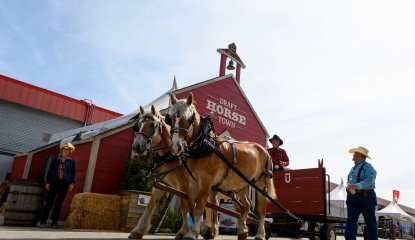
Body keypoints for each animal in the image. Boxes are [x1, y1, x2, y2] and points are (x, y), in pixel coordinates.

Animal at [130, 105, 218, 240]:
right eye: (138, 125)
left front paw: (185, 231)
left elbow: (184, 206)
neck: (170, 155)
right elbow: (151, 204)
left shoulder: (184, 184)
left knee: (215, 204)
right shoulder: (161, 183)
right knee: (210, 205)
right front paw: (138, 230)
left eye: (152, 125)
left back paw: (213, 229)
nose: (136, 147)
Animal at [169, 92, 276, 240]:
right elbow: (191, 205)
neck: (204, 145)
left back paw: (260, 233)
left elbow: (200, 206)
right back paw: (242, 230)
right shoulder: (193, 182)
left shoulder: (206, 183)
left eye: (189, 118)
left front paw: (195, 232)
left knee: (262, 209)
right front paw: (200, 231)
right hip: (242, 184)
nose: (175, 147)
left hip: (260, 183)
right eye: (171, 118)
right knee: (246, 205)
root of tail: (265, 150)